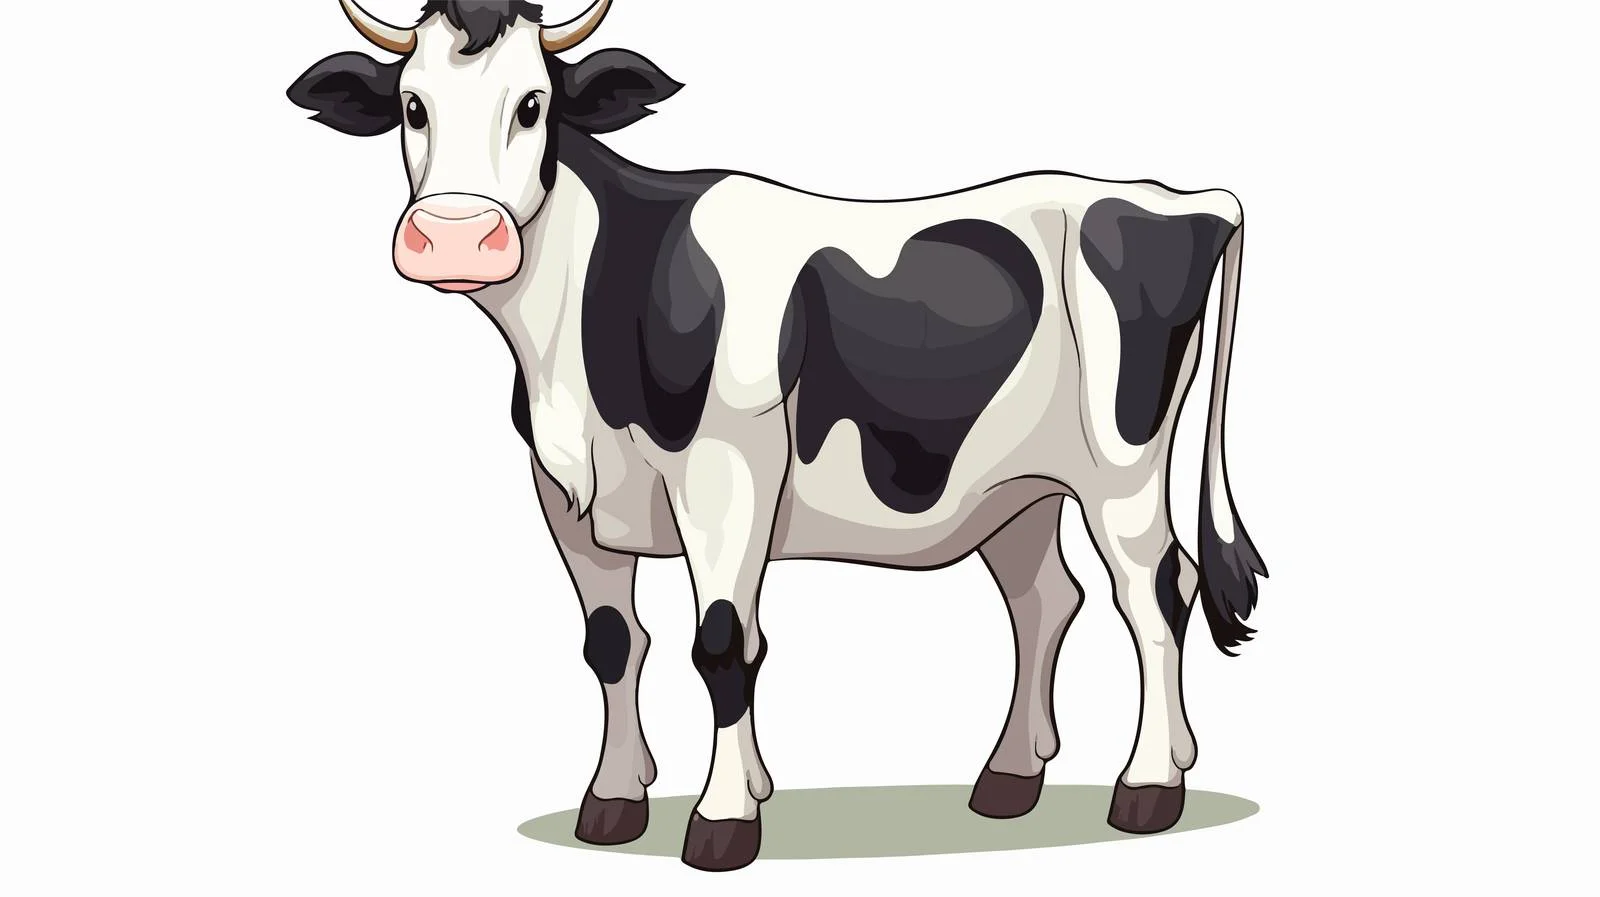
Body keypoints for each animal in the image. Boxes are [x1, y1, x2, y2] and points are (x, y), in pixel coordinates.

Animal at [287, 0, 1269, 872]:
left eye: (533, 104)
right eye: (412, 106)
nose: (456, 238)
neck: (585, 328)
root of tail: (1179, 197)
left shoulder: (729, 474)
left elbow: (722, 640)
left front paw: (723, 820)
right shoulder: (564, 492)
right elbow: (612, 641)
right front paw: (618, 799)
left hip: (1122, 468)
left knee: (1156, 592)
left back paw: (1149, 785)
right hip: (1021, 486)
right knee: (1044, 600)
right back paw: (1010, 777)